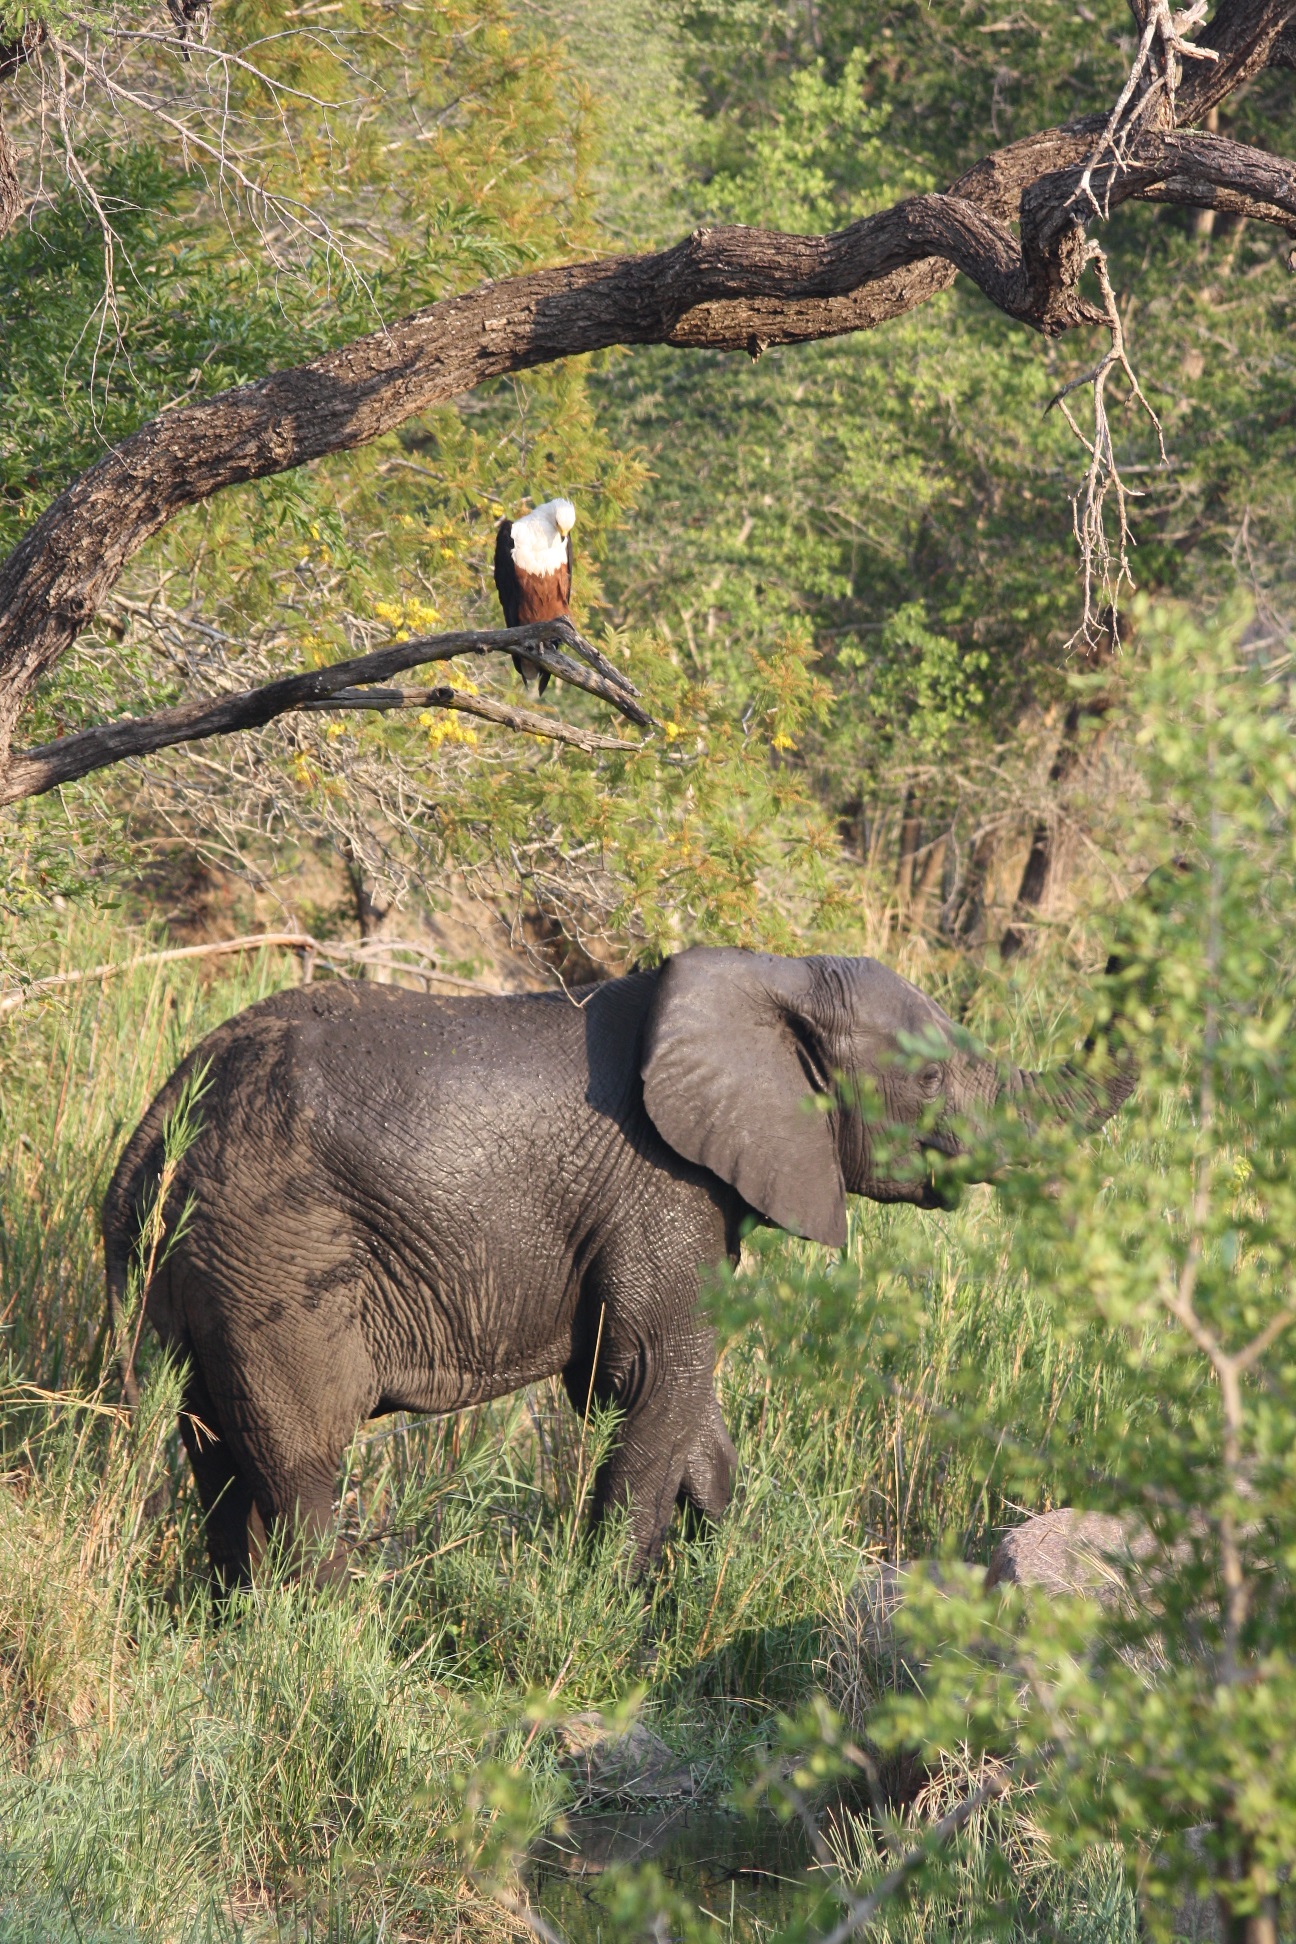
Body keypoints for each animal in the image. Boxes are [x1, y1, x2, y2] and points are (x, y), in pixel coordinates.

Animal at [103, 944, 1134, 1594]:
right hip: (275, 1256)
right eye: (926, 1078)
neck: (772, 975)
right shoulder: (660, 1189)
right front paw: (612, 1613)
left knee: (214, 1449)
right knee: (299, 1459)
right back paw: (325, 1632)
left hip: (191, 1266)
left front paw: (708, 1576)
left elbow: (681, 1403)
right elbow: (644, 1378)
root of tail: (163, 1119)